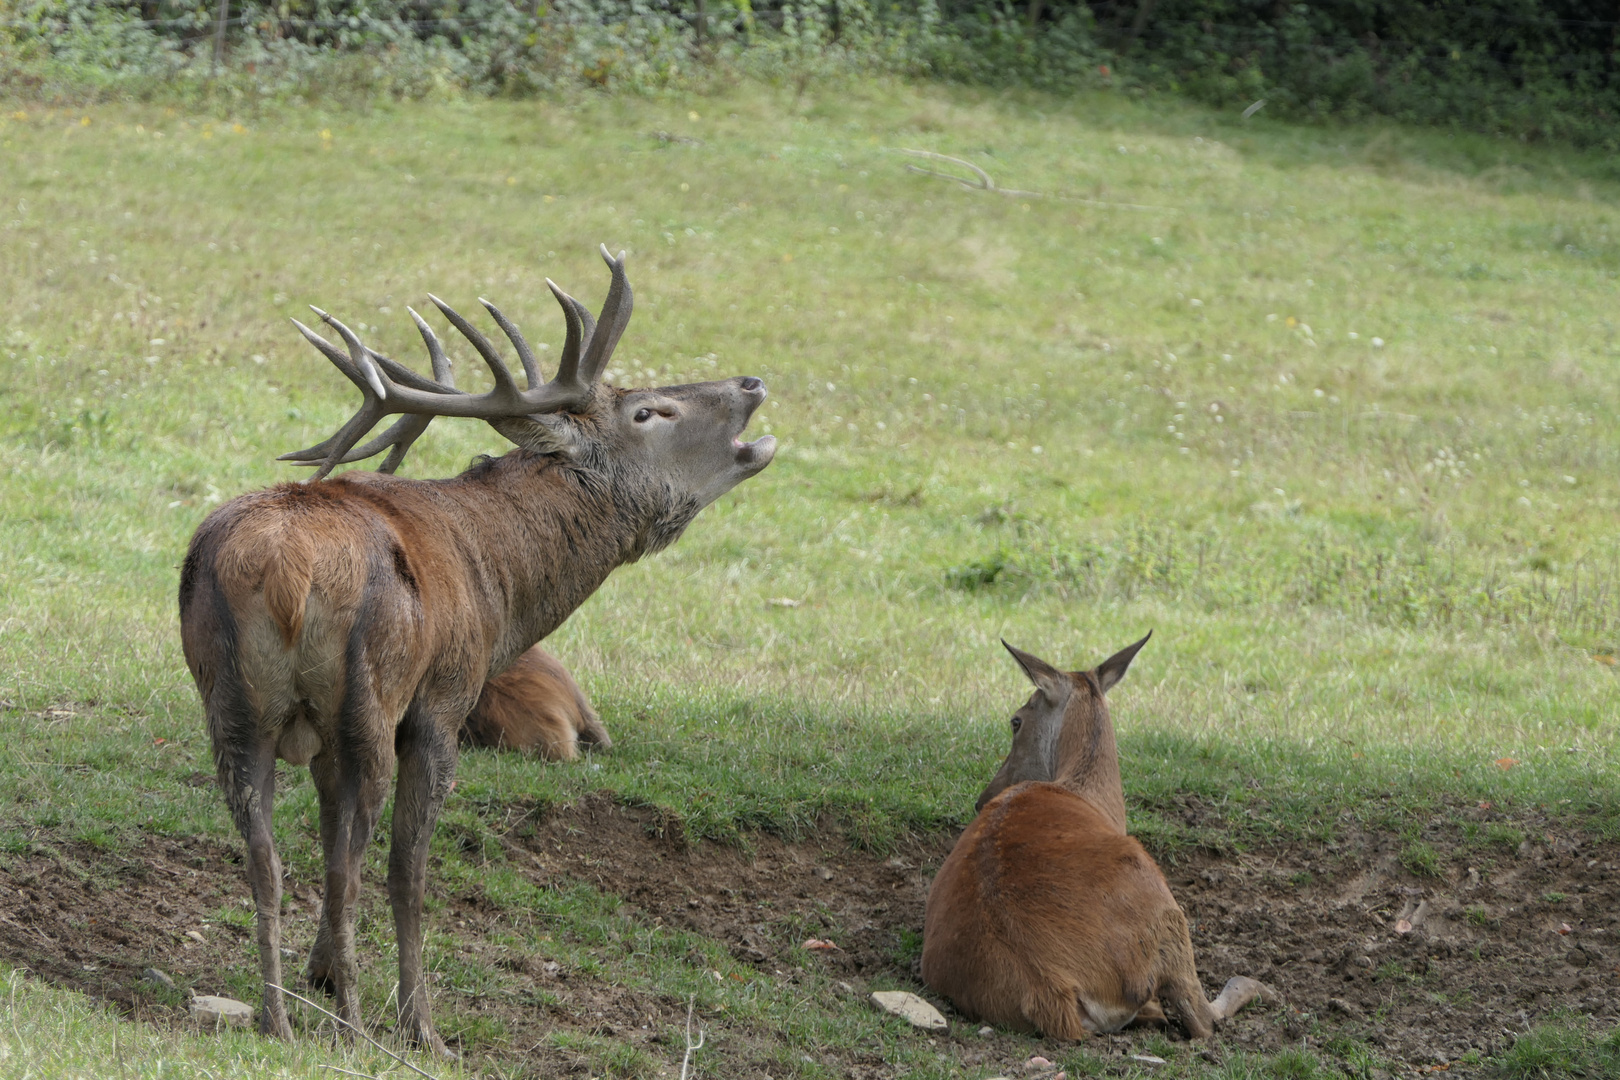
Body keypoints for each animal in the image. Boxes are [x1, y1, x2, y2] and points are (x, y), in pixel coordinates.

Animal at [926, 637, 1276, 1042]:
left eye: (1016, 721)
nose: (982, 798)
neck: (1093, 797)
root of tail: (1050, 991)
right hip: (1164, 911)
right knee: (1201, 1018)